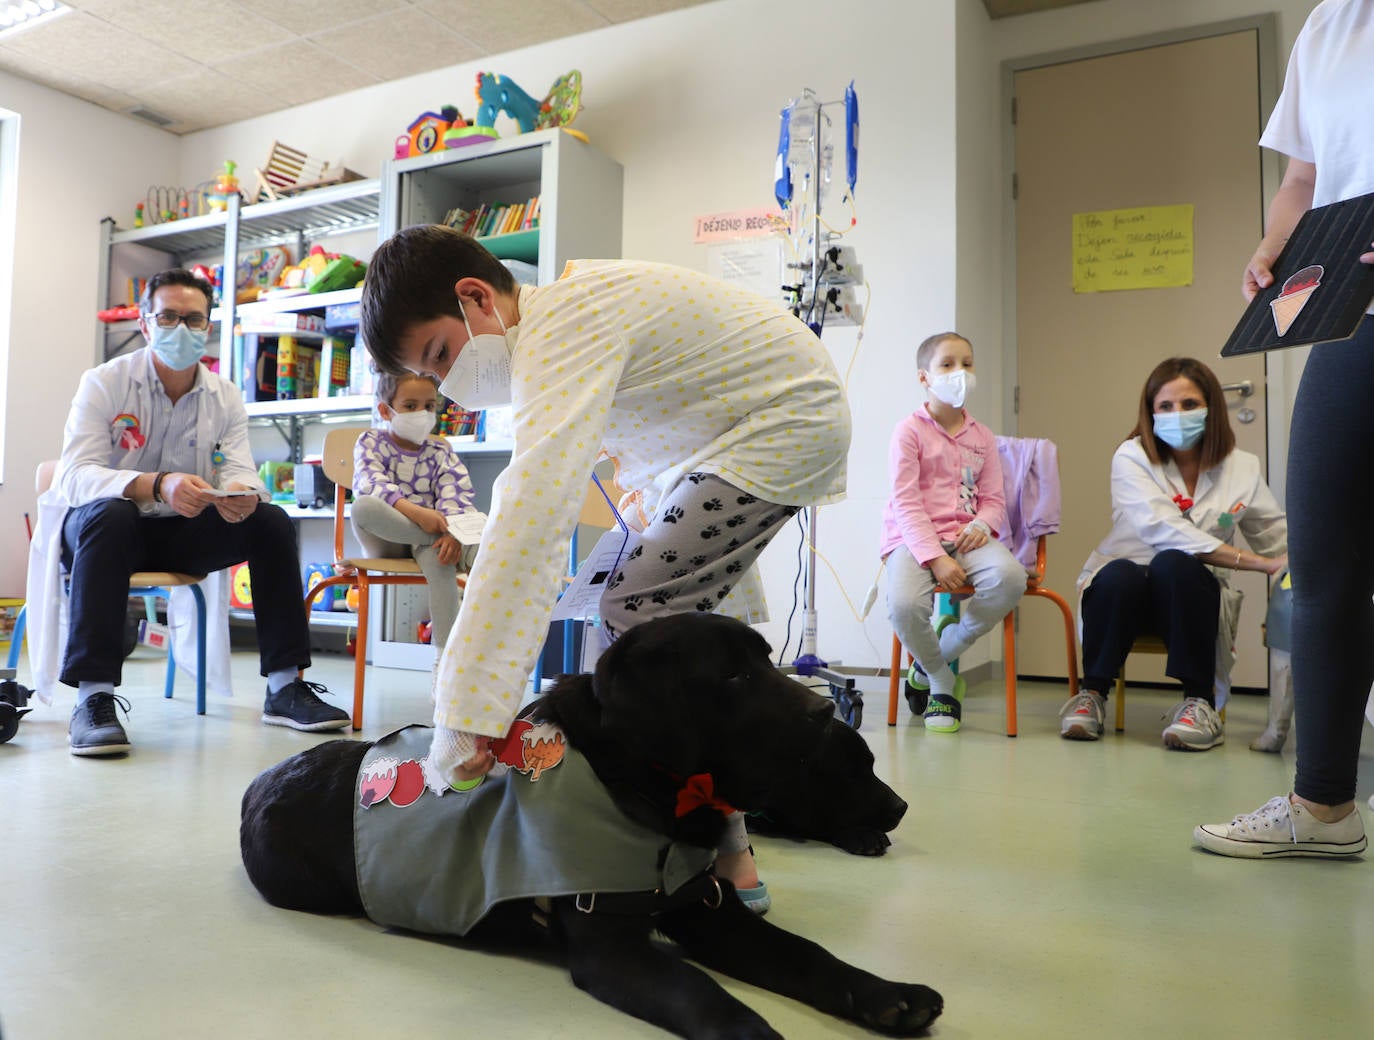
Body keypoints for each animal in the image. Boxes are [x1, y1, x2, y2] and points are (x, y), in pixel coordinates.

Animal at [241, 612, 939, 1033]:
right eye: (734, 675)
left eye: (769, 661)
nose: (825, 713)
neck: (647, 790)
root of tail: (260, 782)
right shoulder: (613, 948)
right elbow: (707, 997)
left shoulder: (710, 913)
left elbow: (806, 954)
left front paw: (887, 993)